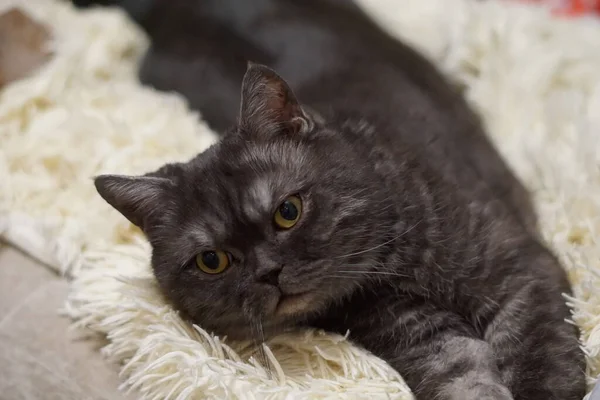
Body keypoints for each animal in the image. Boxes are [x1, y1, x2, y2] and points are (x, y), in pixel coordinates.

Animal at [94, 0, 584, 400]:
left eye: (287, 212)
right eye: (211, 261)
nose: (268, 272)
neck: (390, 268)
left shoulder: (518, 273)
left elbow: (539, 361)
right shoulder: (415, 333)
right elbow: (461, 376)